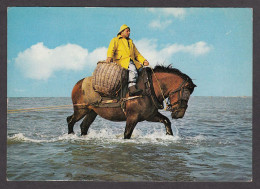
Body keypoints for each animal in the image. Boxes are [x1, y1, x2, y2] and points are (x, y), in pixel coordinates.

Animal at [66, 65, 196, 139]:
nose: (180, 114)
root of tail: (78, 84)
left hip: (92, 112)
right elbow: (127, 134)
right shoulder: (132, 117)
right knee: (70, 120)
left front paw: (169, 135)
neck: (148, 88)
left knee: (84, 126)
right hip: (81, 109)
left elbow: (166, 121)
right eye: (185, 93)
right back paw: (70, 135)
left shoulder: (150, 115)